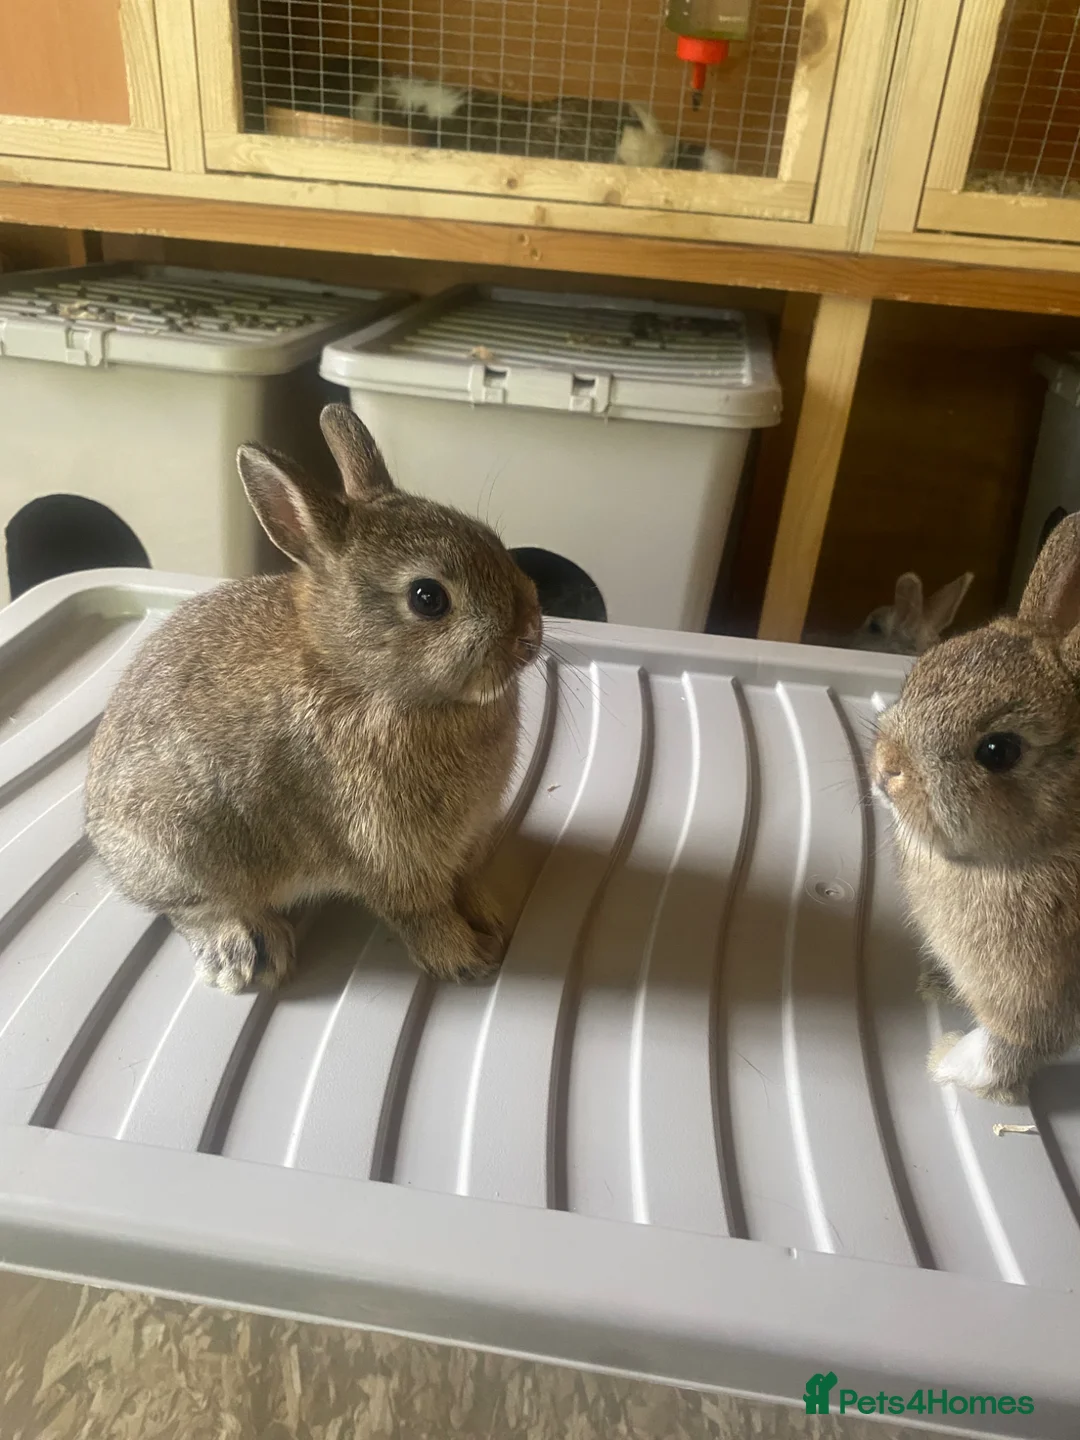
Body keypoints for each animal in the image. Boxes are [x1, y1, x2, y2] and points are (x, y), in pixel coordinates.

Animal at [84, 404, 542, 994]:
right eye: (428, 598)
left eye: (489, 537)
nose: (529, 633)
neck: (364, 680)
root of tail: (99, 832)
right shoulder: (387, 852)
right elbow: (421, 914)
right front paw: (466, 959)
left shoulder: (464, 845)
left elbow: (465, 884)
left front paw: (492, 919)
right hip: (182, 848)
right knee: (189, 909)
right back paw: (246, 952)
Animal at [872, 513, 1080, 1101]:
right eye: (923, 666)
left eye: (997, 751)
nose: (886, 767)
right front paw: (935, 984)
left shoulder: (1041, 1000)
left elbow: (1011, 1046)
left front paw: (949, 1065)